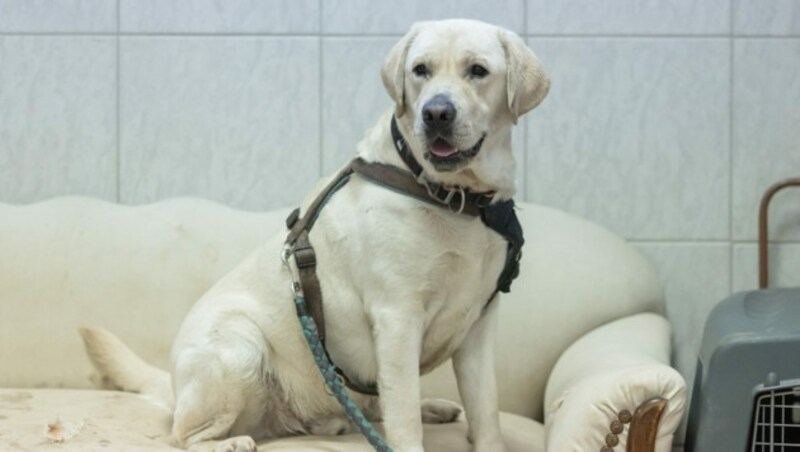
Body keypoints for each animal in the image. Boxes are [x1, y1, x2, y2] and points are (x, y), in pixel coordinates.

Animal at [79, 18, 544, 452]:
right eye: (421, 70)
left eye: (477, 70)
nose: (436, 113)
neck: (454, 198)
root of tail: (175, 388)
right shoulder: (397, 317)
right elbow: (404, 416)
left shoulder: (478, 325)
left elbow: (485, 411)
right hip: (239, 347)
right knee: (181, 434)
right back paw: (230, 441)